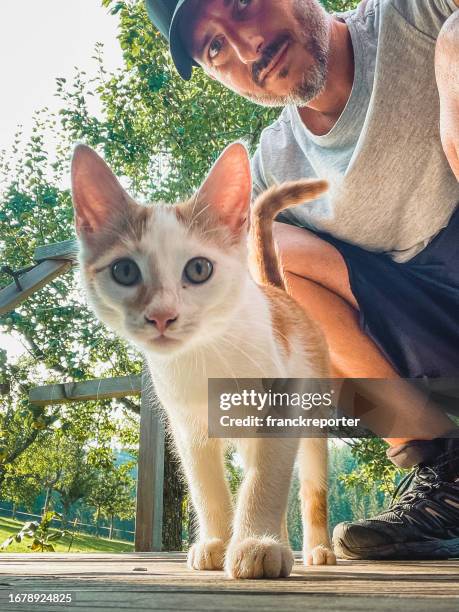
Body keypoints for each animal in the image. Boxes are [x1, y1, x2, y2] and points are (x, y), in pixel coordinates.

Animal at [73, 141, 338, 576]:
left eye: (199, 269)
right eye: (124, 271)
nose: (162, 315)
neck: (206, 354)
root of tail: (276, 292)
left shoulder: (283, 401)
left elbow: (267, 478)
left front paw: (255, 543)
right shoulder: (187, 422)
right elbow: (206, 484)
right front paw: (218, 541)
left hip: (313, 415)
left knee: (310, 485)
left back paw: (317, 549)